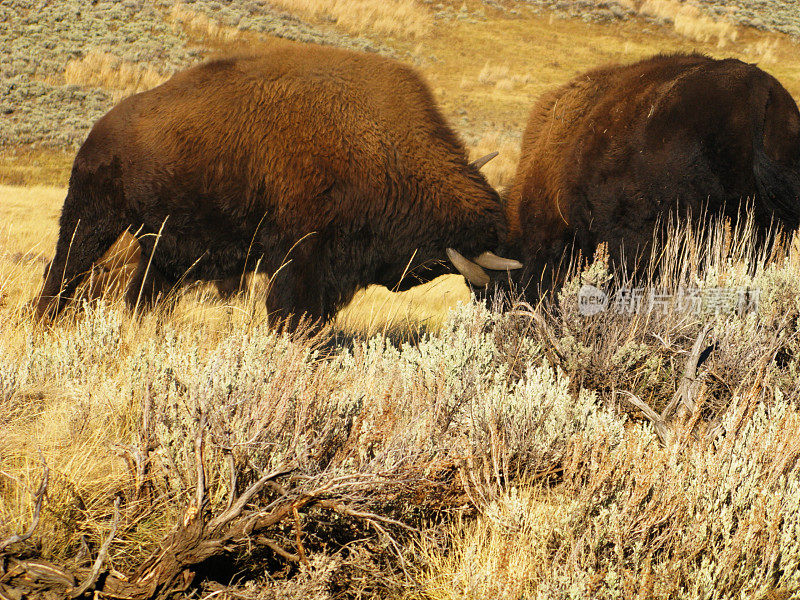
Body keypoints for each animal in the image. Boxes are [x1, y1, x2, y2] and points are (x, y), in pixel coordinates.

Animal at [36, 42, 520, 328]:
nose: (496, 305)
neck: (381, 146)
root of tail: (98, 132)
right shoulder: (300, 252)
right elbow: (292, 309)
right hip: (91, 218)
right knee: (66, 268)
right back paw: (45, 322)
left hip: (163, 247)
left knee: (143, 292)